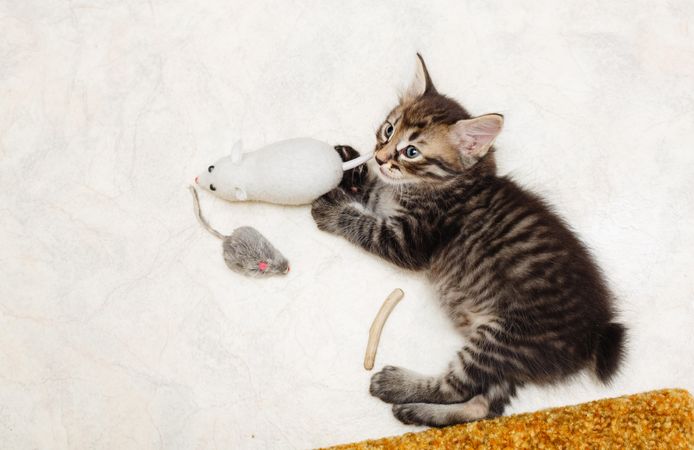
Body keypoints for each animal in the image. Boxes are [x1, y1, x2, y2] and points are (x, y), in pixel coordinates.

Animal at [312, 54, 628, 428]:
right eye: (389, 130)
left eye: (411, 151)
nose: (379, 155)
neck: (449, 183)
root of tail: (595, 333)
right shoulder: (391, 202)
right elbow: (376, 191)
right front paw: (352, 167)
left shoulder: (409, 241)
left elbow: (364, 225)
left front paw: (333, 208)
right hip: (508, 357)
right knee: (484, 406)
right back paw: (416, 411)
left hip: (503, 338)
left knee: (455, 387)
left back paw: (396, 386)